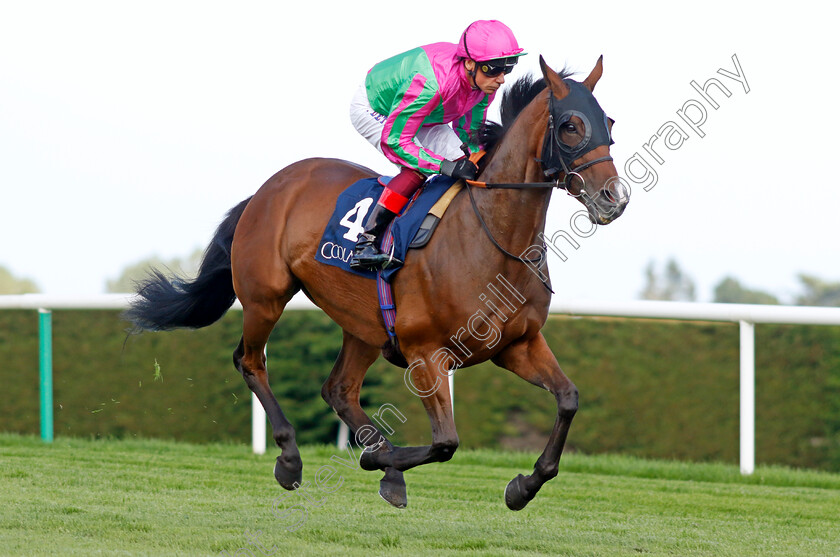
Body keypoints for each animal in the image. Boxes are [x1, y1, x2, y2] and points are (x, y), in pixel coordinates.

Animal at [128, 55, 632, 508]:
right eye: (570, 125)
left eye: (607, 120)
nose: (615, 198)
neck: (490, 235)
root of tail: (269, 188)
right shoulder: (427, 354)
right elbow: (446, 442)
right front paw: (376, 461)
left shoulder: (517, 345)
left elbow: (568, 399)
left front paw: (523, 486)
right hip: (264, 297)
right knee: (250, 361)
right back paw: (293, 459)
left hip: (363, 324)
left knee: (338, 389)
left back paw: (383, 465)